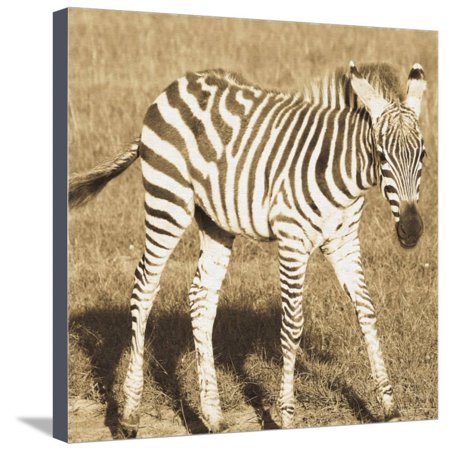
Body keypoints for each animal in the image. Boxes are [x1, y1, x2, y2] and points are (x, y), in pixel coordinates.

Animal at [69, 61, 427, 436]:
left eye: (423, 155)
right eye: (381, 156)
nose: (411, 230)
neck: (339, 170)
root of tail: (175, 85)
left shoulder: (344, 243)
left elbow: (367, 312)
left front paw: (389, 407)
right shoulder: (292, 240)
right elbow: (292, 325)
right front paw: (287, 416)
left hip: (215, 220)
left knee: (201, 296)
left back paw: (213, 417)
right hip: (168, 201)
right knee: (144, 287)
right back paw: (129, 416)